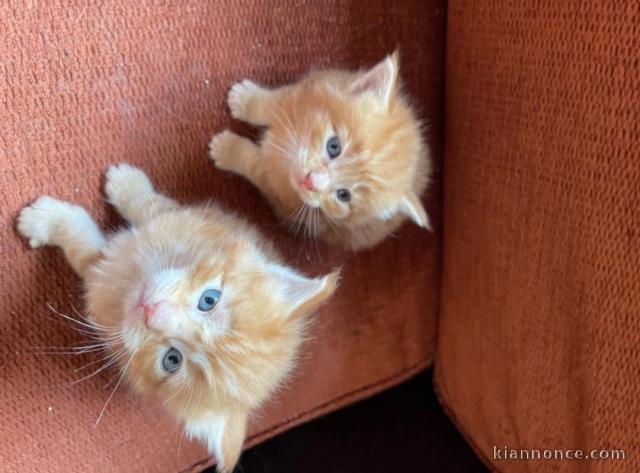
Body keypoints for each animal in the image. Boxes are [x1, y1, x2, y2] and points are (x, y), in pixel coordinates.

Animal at [15, 164, 338, 470]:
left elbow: (86, 249)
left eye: (172, 360)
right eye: (209, 300)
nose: (151, 311)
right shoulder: (188, 220)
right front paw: (127, 185)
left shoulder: (100, 288)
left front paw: (47, 220)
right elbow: (150, 205)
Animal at [209, 50, 430, 251]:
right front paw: (246, 100)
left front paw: (227, 149)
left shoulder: (280, 192)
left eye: (343, 195)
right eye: (334, 146)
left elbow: (256, 165)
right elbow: (274, 102)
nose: (309, 181)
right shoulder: (307, 89)